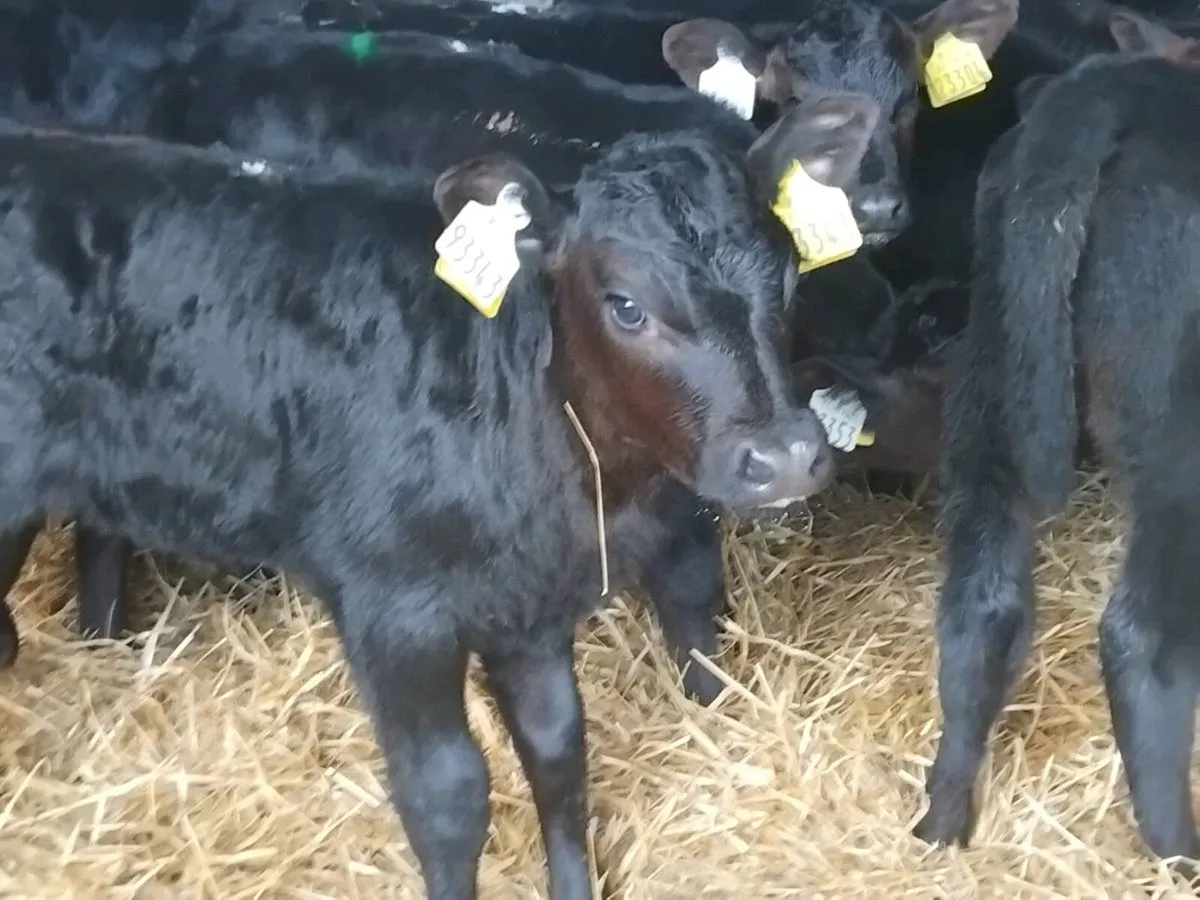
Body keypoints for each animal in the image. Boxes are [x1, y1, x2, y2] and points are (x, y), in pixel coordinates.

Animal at [913, 7, 1200, 874]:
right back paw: (1177, 849)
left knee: (979, 605)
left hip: (990, 379)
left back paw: (942, 818)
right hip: (1179, 443)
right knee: (1143, 639)